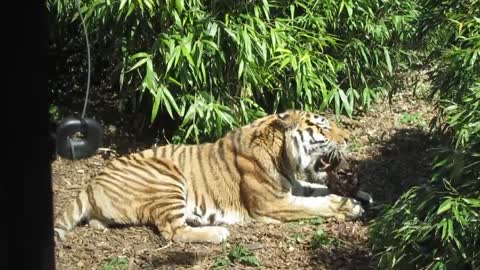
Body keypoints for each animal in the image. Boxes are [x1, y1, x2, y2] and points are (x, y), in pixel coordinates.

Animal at [53, 108, 364, 244]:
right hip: (167, 179)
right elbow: (316, 204)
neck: (283, 156)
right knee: (173, 232)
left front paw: (359, 193)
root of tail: (92, 182)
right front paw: (350, 206)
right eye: (323, 128)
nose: (349, 138)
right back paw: (218, 232)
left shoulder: (292, 186)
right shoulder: (272, 203)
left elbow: (316, 191)